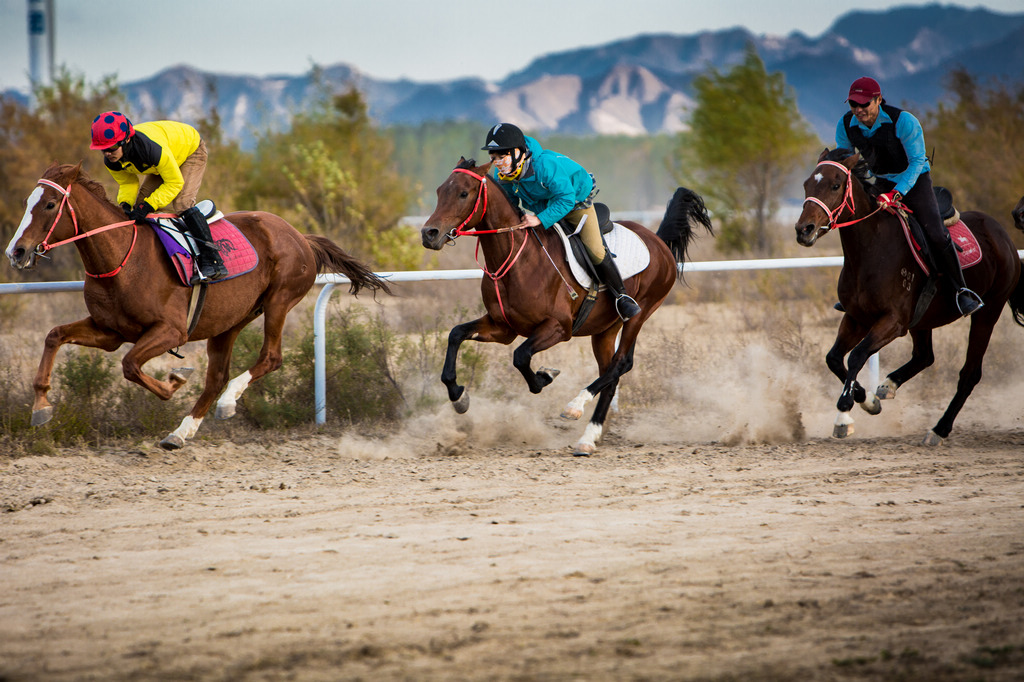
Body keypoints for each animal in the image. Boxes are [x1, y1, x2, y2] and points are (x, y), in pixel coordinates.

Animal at [6, 162, 389, 448]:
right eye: (27, 202)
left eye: (50, 205)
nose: (17, 251)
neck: (122, 258)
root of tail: (300, 236)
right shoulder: (110, 330)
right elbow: (55, 336)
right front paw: (40, 406)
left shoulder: (170, 330)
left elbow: (131, 366)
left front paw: (175, 380)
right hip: (229, 320)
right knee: (216, 376)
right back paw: (181, 432)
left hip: (280, 299)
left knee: (270, 358)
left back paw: (228, 401)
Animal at [415, 157, 712, 454]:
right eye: (440, 191)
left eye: (463, 193)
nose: (429, 234)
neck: (517, 260)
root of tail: (657, 240)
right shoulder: (502, 328)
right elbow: (456, 334)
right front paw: (458, 396)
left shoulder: (558, 328)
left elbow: (521, 356)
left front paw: (545, 376)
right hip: (605, 329)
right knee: (611, 373)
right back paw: (589, 437)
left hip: (639, 314)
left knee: (621, 363)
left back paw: (575, 407)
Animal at [790, 148, 1024, 440]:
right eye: (806, 184)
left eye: (835, 185)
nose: (804, 230)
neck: (871, 251)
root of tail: (1003, 235)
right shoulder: (856, 318)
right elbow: (833, 358)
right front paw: (866, 400)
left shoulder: (893, 321)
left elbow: (857, 355)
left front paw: (844, 410)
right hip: (923, 320)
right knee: (925, 356)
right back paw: (888, 386)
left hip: (988, 312)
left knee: (969, 373)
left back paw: (939, 429)